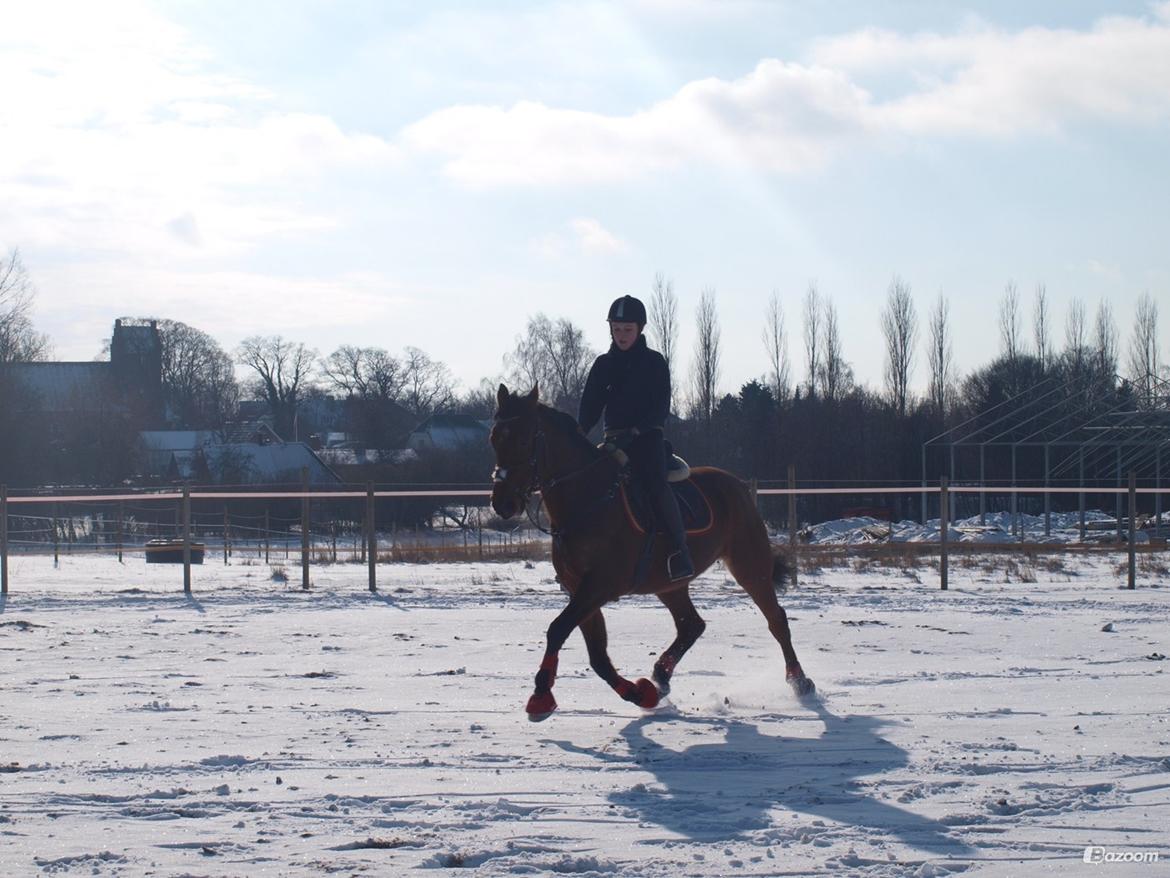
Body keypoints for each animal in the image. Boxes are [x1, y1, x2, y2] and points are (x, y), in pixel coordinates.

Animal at [491, 383, 814, 721]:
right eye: (494, 438)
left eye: (524, 440)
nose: (503, 503)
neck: (588, 498)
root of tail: (737, 485)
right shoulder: (579, 587)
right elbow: (598, 655)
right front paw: (639, 693)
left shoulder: (600, 585)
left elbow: (558, 630)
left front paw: (541, 695)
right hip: (668, 583)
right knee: (691, 625)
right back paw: (660, 675)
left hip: (749, 564)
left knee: (776, 619)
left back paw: (799, 680)